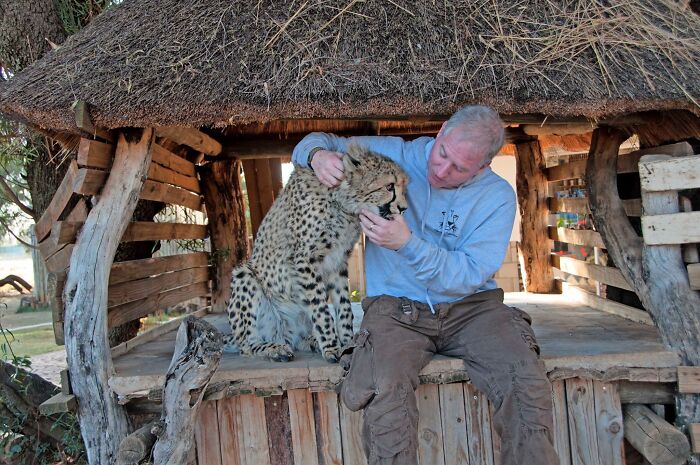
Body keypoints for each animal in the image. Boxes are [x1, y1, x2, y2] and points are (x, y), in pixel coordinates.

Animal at [223, 144, 409, 363]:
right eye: (389, 187)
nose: (404, 208)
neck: (341, 202)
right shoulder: (306, 259)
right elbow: (321, 309)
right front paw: (332, 346)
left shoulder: (338, 262)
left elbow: (344, 306)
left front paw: (347, 342)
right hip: (245, 275)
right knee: (247, 345)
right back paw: (274, 348)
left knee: (295, 340)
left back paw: (310, 341)